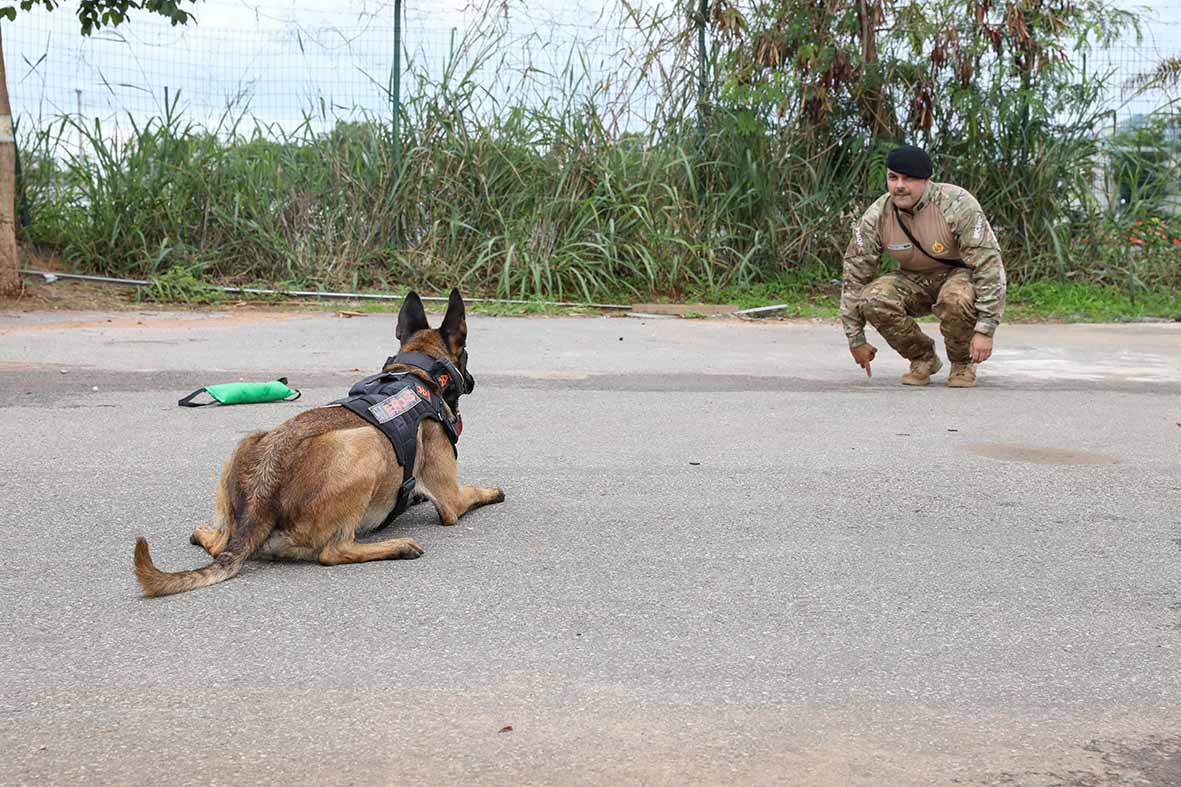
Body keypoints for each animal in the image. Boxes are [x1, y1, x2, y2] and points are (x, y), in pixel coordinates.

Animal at [134, 288, 503, 595]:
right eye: (467, 354)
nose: (472, 380)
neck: (418, 373)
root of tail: (262, 499)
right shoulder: (451, 499)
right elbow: (471, 493)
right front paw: (490, 491)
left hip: (247, 442)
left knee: (220, 542)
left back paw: (205, 532)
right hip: (367, 446)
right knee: (333, 551)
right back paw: (397, 546)